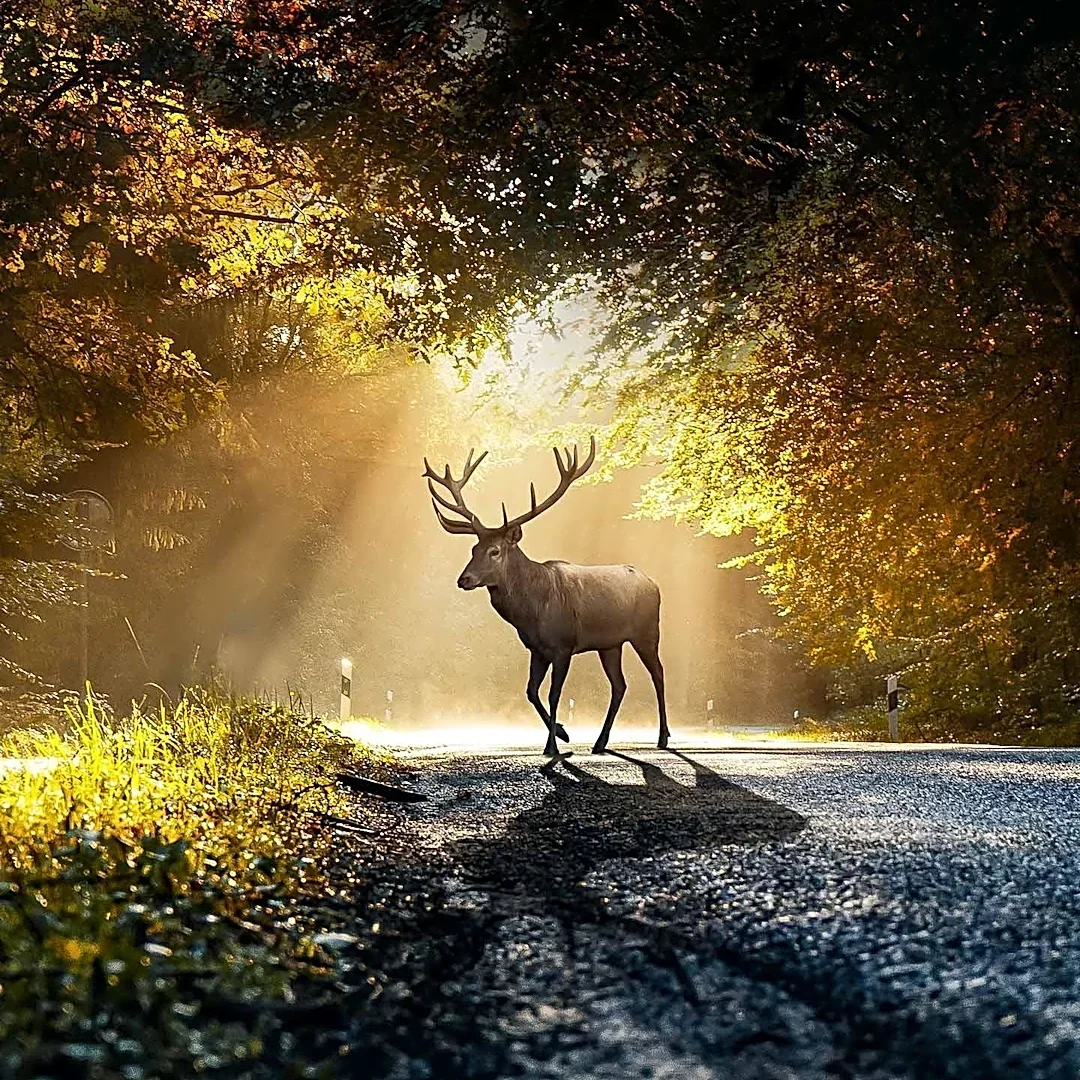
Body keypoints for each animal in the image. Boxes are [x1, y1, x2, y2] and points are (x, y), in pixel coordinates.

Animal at [423, 438, 670, 757]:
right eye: (473, 549)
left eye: (495, 551)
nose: (463, 579)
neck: (532, 613)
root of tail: (654, 584)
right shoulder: (536, 649)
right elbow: (530, 691)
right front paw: (563, 734)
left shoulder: (563, 646)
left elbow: (553, 694)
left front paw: (553, 745)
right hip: (610, 644)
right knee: (620, 685)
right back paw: (600, 742)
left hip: (647, 631)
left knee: (658, 673)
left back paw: (663, 737)